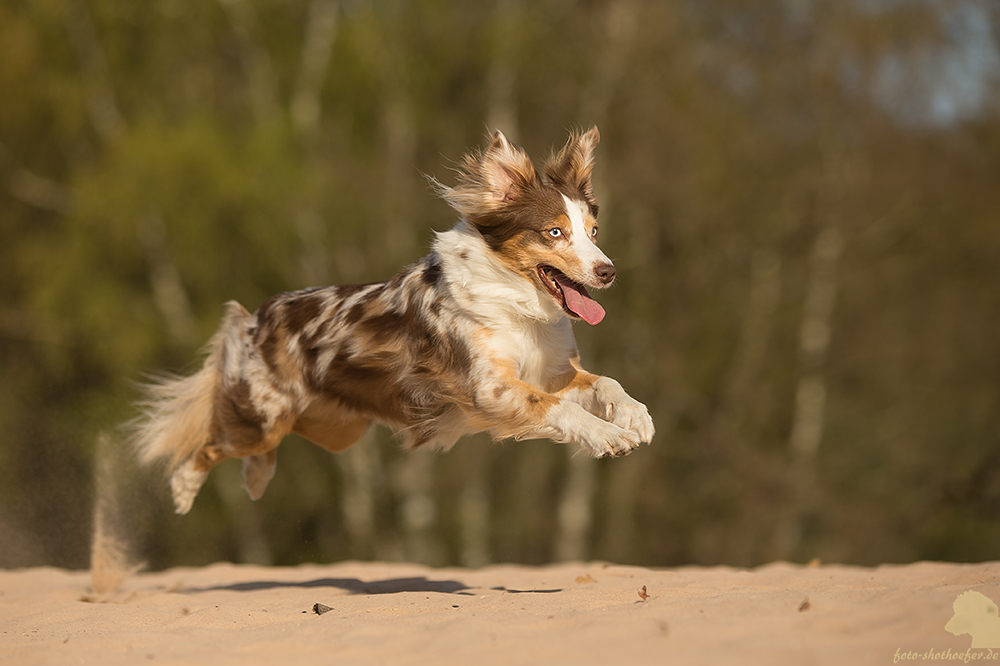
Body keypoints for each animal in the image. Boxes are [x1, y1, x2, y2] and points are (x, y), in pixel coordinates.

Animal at [133, 128, 656, 512]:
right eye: (554, 233)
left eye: (593, 232)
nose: (608, 271)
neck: (517, 304)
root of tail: (258, 316)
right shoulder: (489, 389)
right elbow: (558, 410)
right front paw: (609, 436)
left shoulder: (553, 372)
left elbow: (605, 383)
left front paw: (636, 417)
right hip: (264, 415)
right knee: (213, 443)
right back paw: (184, 488)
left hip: (336, 430)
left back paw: (257, 477)